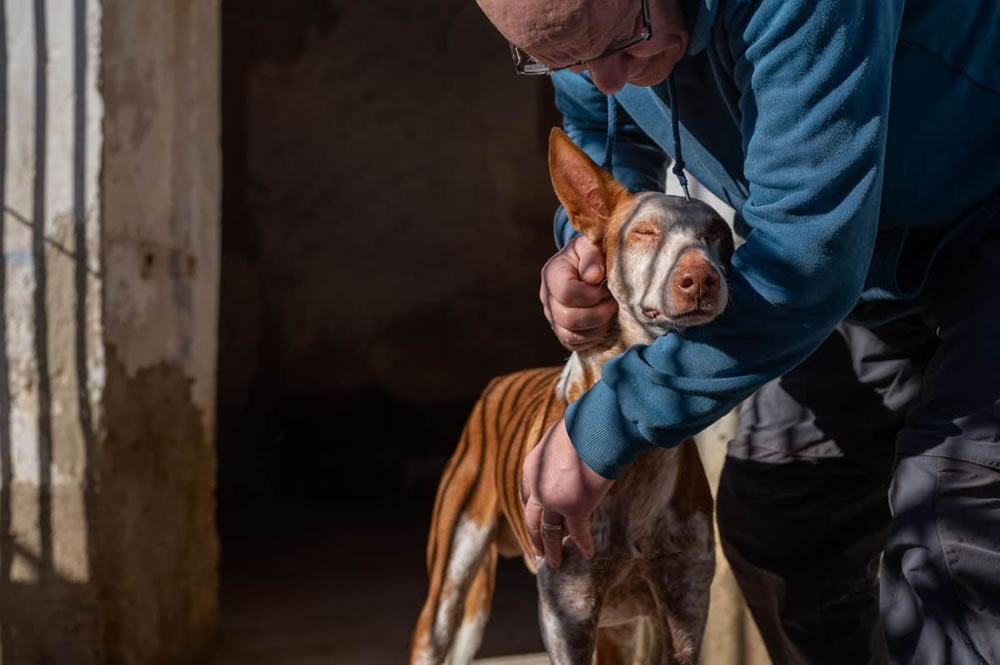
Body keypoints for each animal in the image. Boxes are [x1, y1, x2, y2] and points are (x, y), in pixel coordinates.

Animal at [408, 128, 736, 664]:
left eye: (716, 237)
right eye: (645, 232)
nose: (702, 279)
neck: (633, 462)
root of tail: (501, 382)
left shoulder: (683, 607)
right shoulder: (569, 613)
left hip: (621, 630)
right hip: (450, 587)